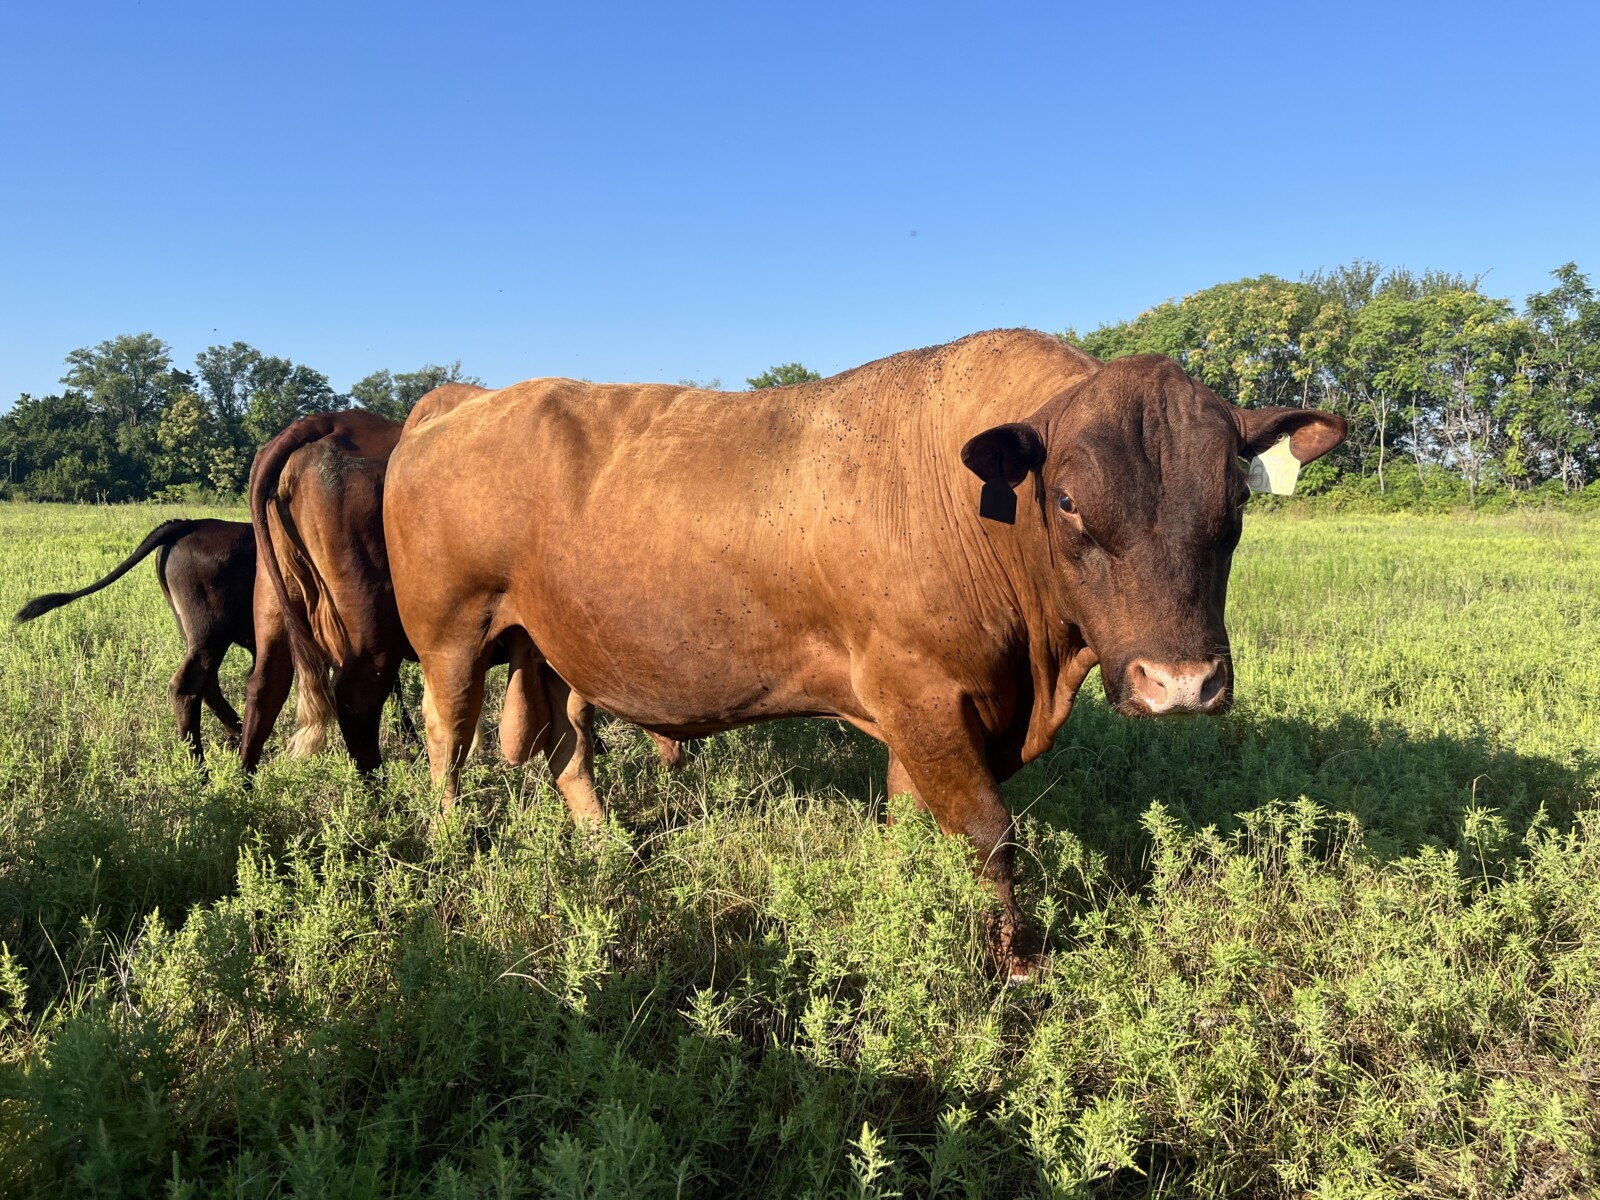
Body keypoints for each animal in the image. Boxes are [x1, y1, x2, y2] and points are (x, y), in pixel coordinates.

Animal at [14, 518, 257, 756]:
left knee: (206, 683)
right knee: (188, 685)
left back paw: (237, 734)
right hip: (210, 633)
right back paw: (199, 761)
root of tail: (192, 523)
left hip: (196, 635)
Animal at [383, 329, 1346, 974]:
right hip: (451, 635)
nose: (1180, 682)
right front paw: (1015, 964)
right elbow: (990, 832)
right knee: (447, 740)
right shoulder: (920, 693)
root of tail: (460, 400)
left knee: (567, 746)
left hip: (555, 648)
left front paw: (895, 903)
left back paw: (604, 845)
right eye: (1069, 499)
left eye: (1235, 497)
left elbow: (907, 821)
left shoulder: (928, 713)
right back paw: (449, 844)